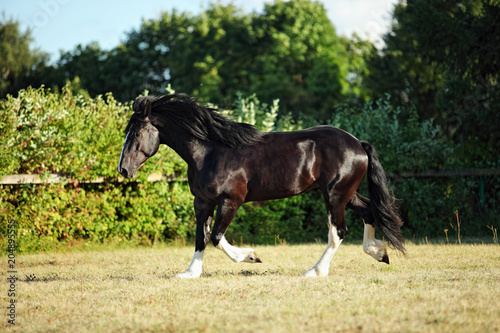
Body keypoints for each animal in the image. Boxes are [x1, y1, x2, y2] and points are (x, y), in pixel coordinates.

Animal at [119, 93, 404, 278]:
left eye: (136, 132)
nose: (123, 169)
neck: (210, 151)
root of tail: (358, 144)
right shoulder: (202, 202)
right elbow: (201, 237)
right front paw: (190, 273)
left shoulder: (230, 201)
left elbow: (216, 237)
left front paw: (251, 256)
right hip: (346, 193)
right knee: (368, 211)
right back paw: (379, 253)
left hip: (334, 195)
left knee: (338, 232)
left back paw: (316, 271)